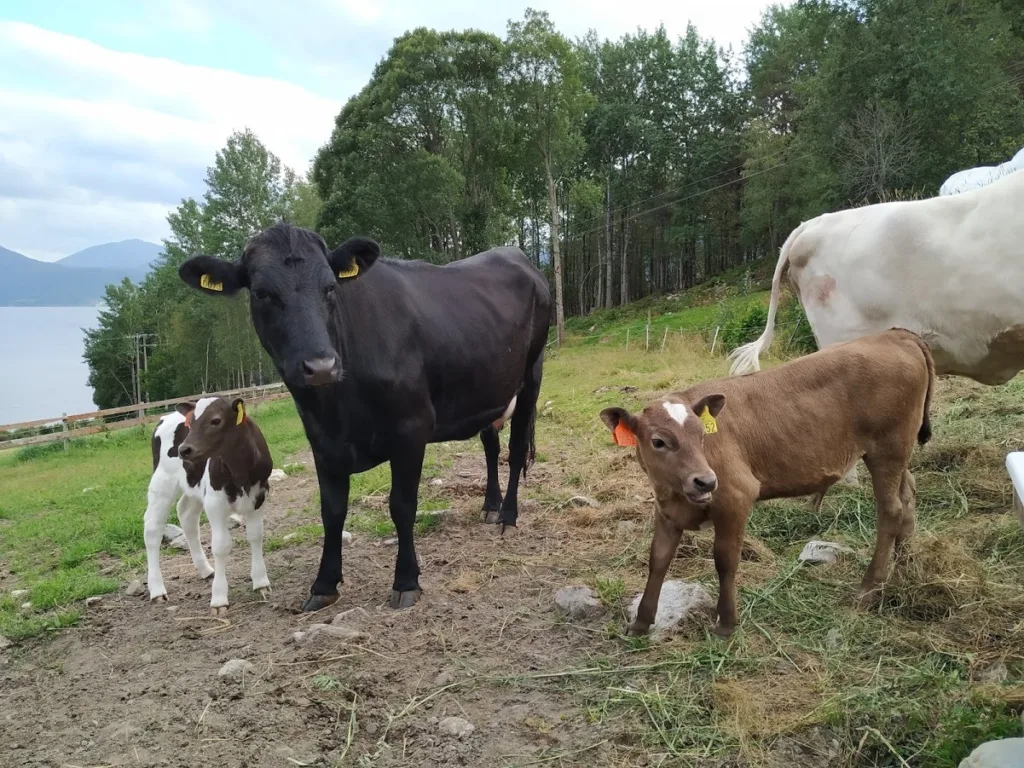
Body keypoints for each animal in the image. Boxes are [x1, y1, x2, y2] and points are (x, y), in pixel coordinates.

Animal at [144, 397, 273, 614]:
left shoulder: (260, 496)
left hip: (193, 485)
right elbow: (221, 546)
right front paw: (219, 598)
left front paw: (261, 582)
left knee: (186, 514)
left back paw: (205, 570)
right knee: (153, 527)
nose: (184, 450)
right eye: (191, 422)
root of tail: (164, 417)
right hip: (162, 481)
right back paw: (157, 590)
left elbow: (256, 535)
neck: (240, 471)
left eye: (216, 420)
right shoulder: (215, 502)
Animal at [178, 223, 551, 612]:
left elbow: (402, 505)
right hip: (487, 390)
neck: (336, 407)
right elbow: (331, 512)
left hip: (531, 374)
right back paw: (491, 506)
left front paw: (406, 581)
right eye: (263, 293)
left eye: (330, 287)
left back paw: (508, 516)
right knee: (491, 445)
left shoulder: (411, 430)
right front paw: (324, 584)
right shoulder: (322, 442)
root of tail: (516, 255)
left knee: (517, 449)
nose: (321, 366)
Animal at [602, 329, 934, 637]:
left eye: (702, 434)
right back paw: (904, 567)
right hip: (898, 454)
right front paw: (641, 622)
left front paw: (726, 623)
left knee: (890, 511)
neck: (673, 494)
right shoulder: (667, 509)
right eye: (658, 441)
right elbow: (657, 559)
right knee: (907, 498)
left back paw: (868, 588)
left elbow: (725, 560)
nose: (706, 481)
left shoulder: (736, 496)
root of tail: (893, 334)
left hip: (888, 448)